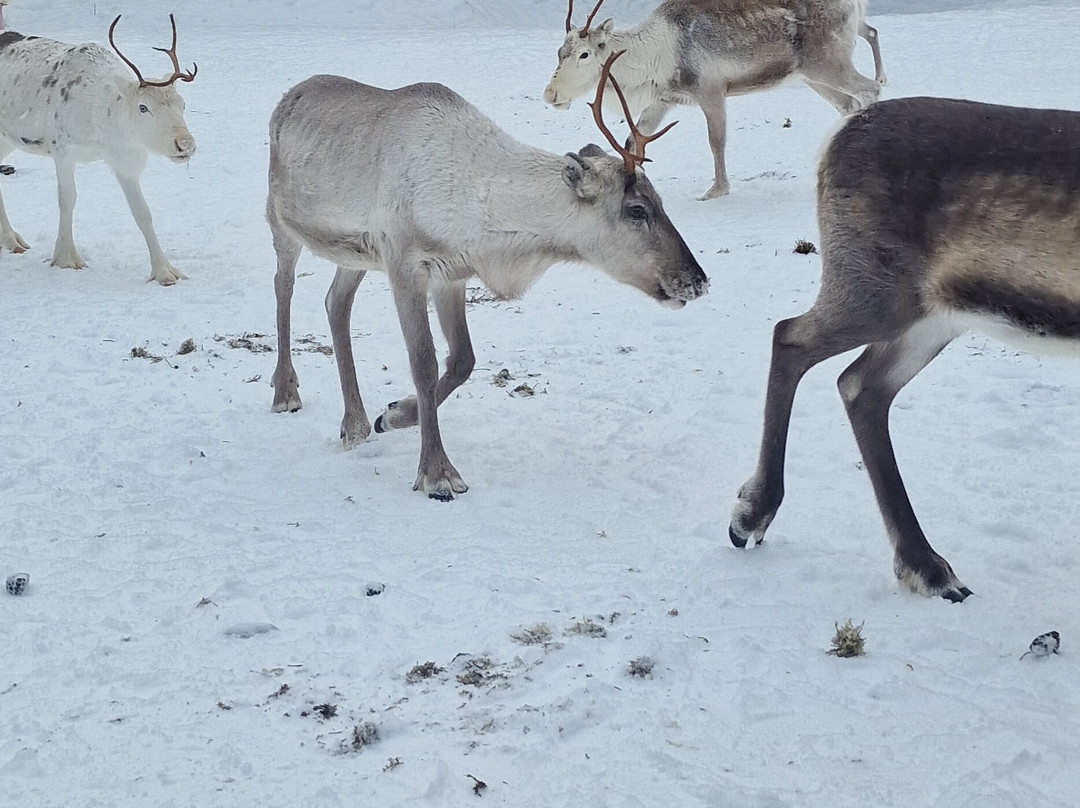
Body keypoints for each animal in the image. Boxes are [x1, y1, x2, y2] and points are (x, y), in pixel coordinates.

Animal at [0, 15, 196, 285]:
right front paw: (65, 257)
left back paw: (11, 239)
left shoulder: (123, 159)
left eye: (183, 104)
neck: (102, 127)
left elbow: (143, 212)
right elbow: (67, 199)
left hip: (7, 140)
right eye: (143, 107)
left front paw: (165, 271)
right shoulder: (62, 148)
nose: (185, 144)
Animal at [267, 51, 708, 501]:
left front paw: (392, 415)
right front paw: (437, 473)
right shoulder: (404, 262)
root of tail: (289, 96)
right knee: (283, 284)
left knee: (335, 302)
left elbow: (463, 360)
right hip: (280, 218)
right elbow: (423, 361)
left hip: (357, 254)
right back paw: (286, 391)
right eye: (637, 209)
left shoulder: (450, 273)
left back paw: (355, 424)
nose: (697, 280)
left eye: (659, 201)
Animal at [544, 0, 886, 200]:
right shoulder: (664, 98)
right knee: (849, 103)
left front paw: (718, 189)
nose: (550, 94)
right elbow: (633, 140)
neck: (653, 58)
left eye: (584, 54)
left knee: (870, 89)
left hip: (827, 62)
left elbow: (716, 140)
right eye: (559, 52)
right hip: (811, 75)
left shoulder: (710, 89)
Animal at [728, 95, 1080, 602]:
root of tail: (839, 134)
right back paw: (754, 513)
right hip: (876, 294)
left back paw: (922, 564)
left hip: (933, 316)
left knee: (859, 384)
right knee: (790, 337)